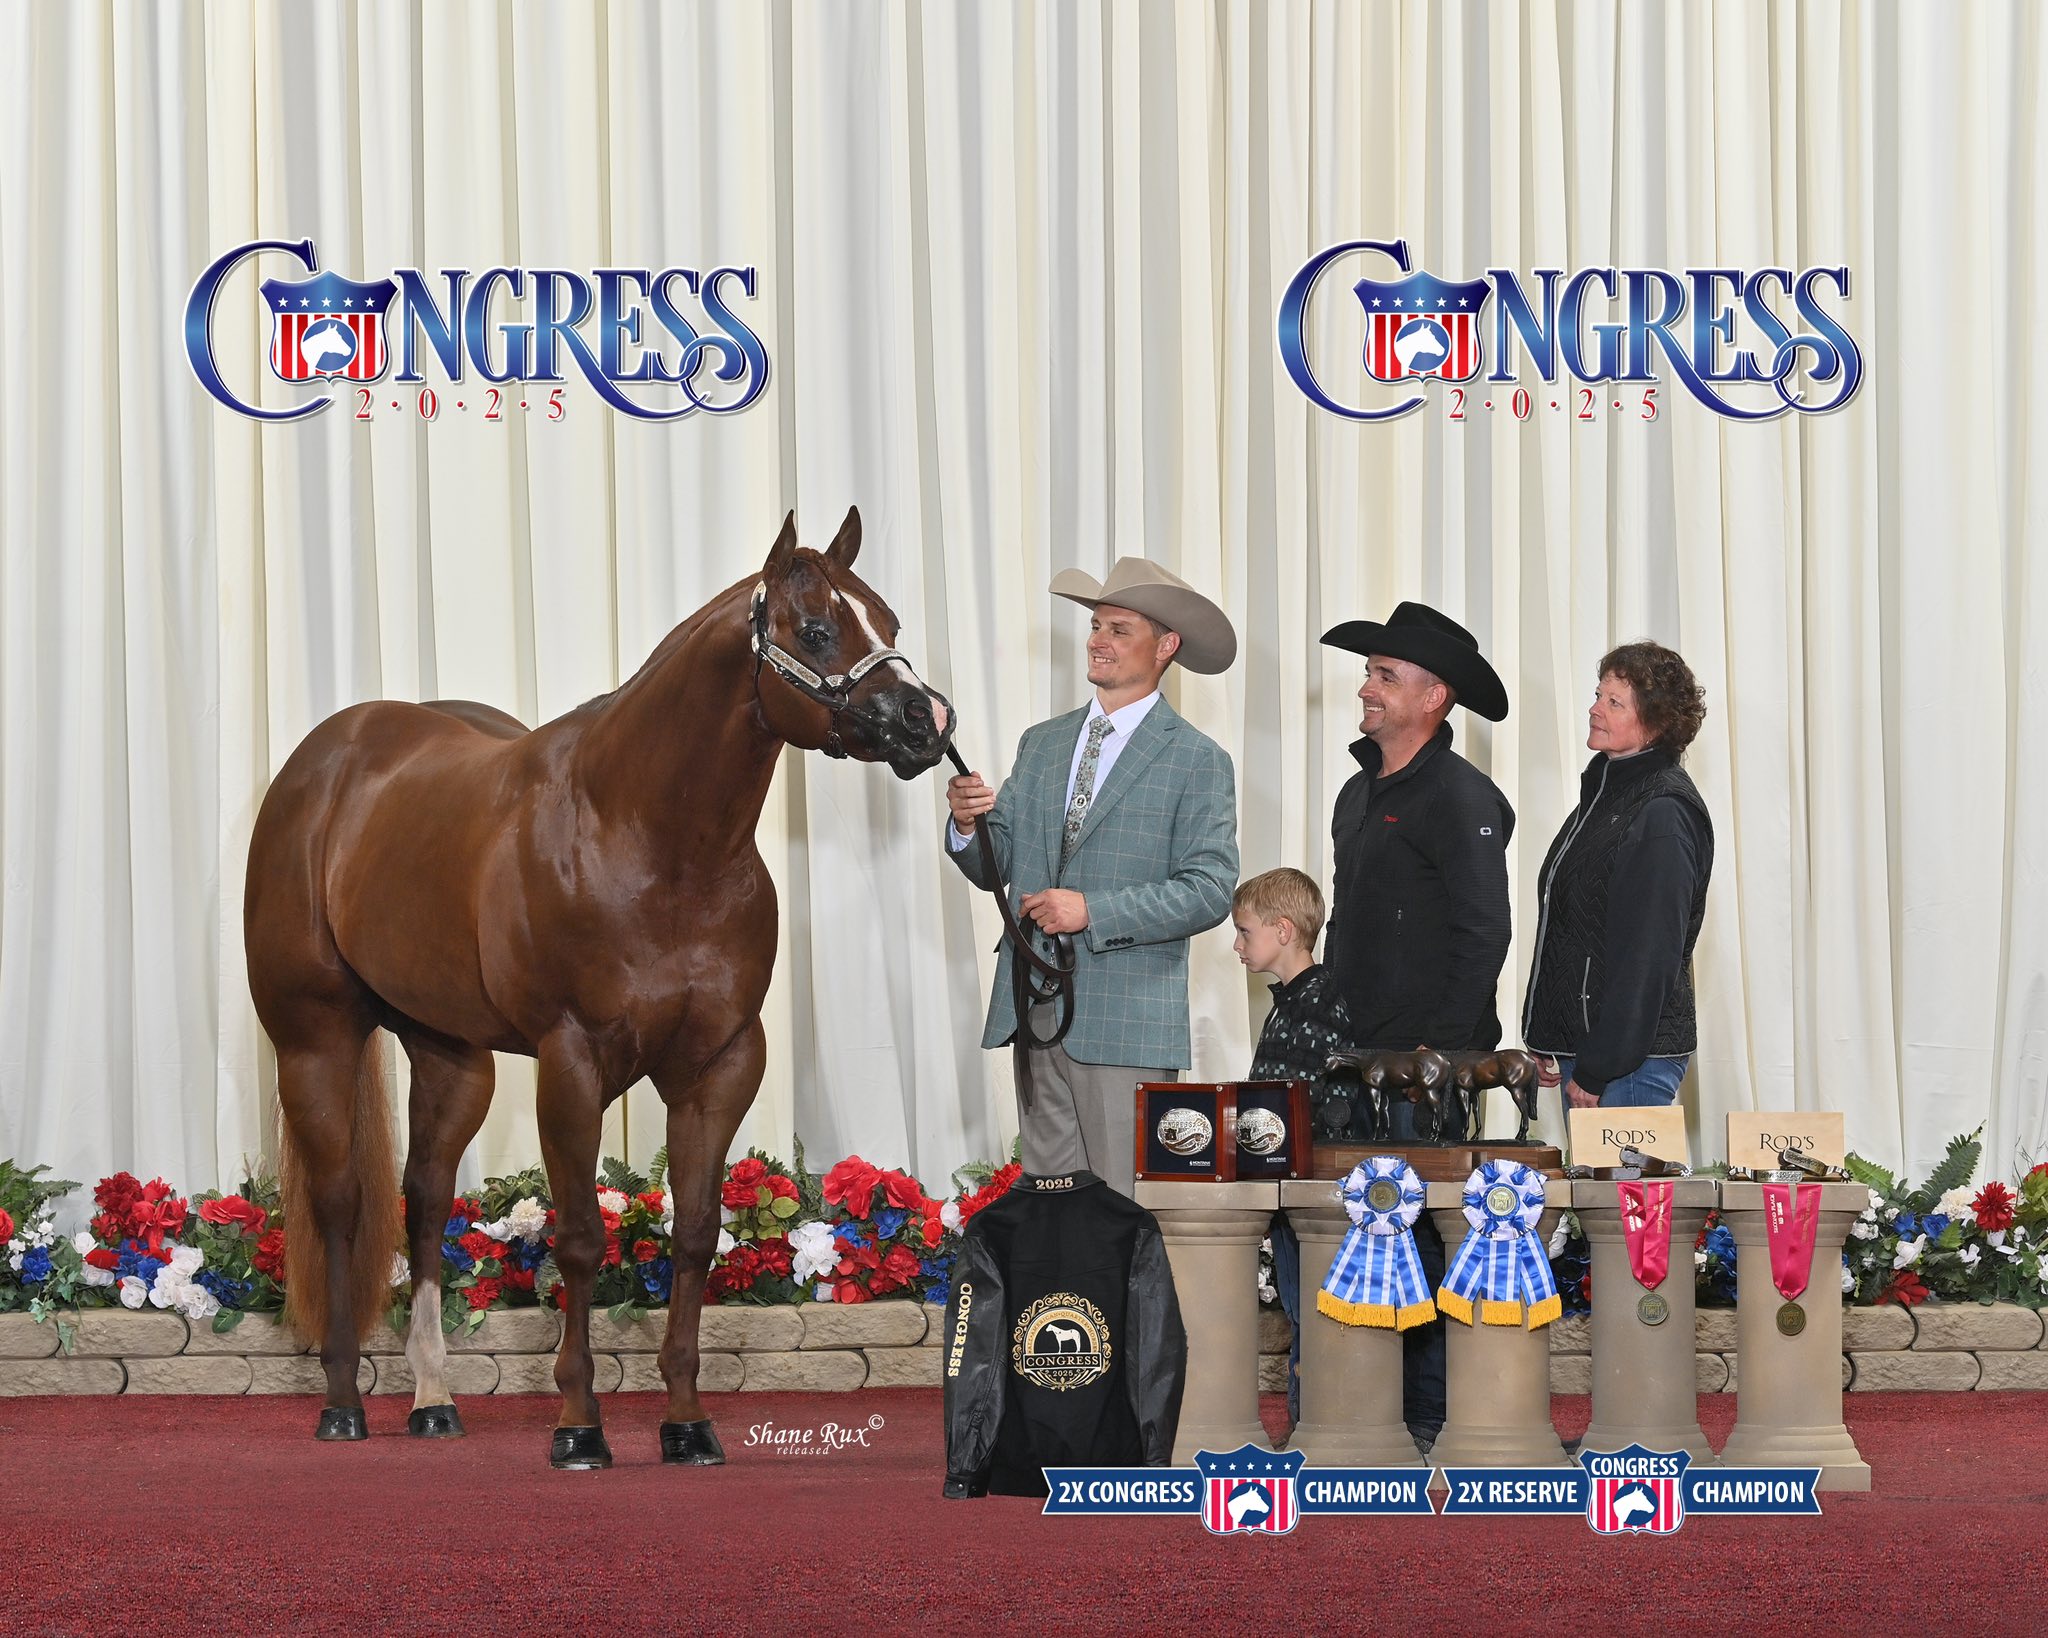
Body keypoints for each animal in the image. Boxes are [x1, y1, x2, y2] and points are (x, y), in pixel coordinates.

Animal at [243, 507, 953, 1468]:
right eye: (815, 628)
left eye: (890, 621)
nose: (927, 720)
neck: (650, 840)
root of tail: (324, 762)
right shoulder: (571, 1061)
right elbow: (580, 1239)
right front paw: (578, 1425)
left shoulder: (722, 1064)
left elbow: (694, 1236)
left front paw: (686, 1421)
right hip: (315, 1039)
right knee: (342, 1205)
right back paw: (344, 1406)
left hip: (453, 1056)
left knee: (424, 1199)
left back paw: (433, 1400)